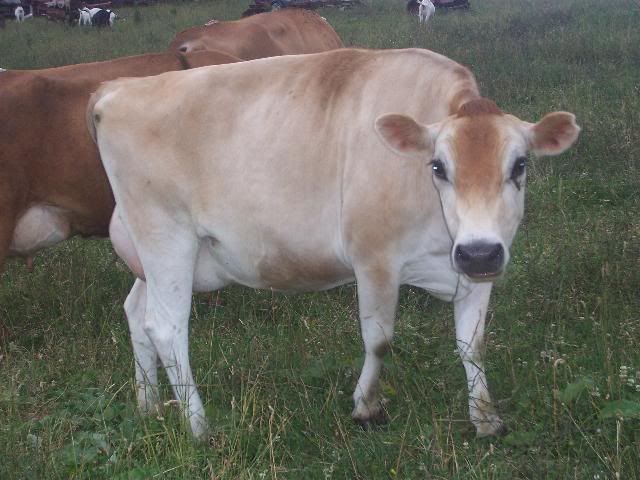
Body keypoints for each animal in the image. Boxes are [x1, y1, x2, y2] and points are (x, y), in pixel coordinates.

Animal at [88, 48, 580, 441]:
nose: (477, 251)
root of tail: (116, 89)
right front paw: (366, 407)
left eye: (520, 165)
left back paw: (149, 405)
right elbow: (379, 340)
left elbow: (472, 343)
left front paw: (485, 418)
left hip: (155, 255)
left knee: (137, 313)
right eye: (438, 166)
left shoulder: (479, 267)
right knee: (166, 326)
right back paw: (198, 427)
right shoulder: (375, 257)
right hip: (165, 235)